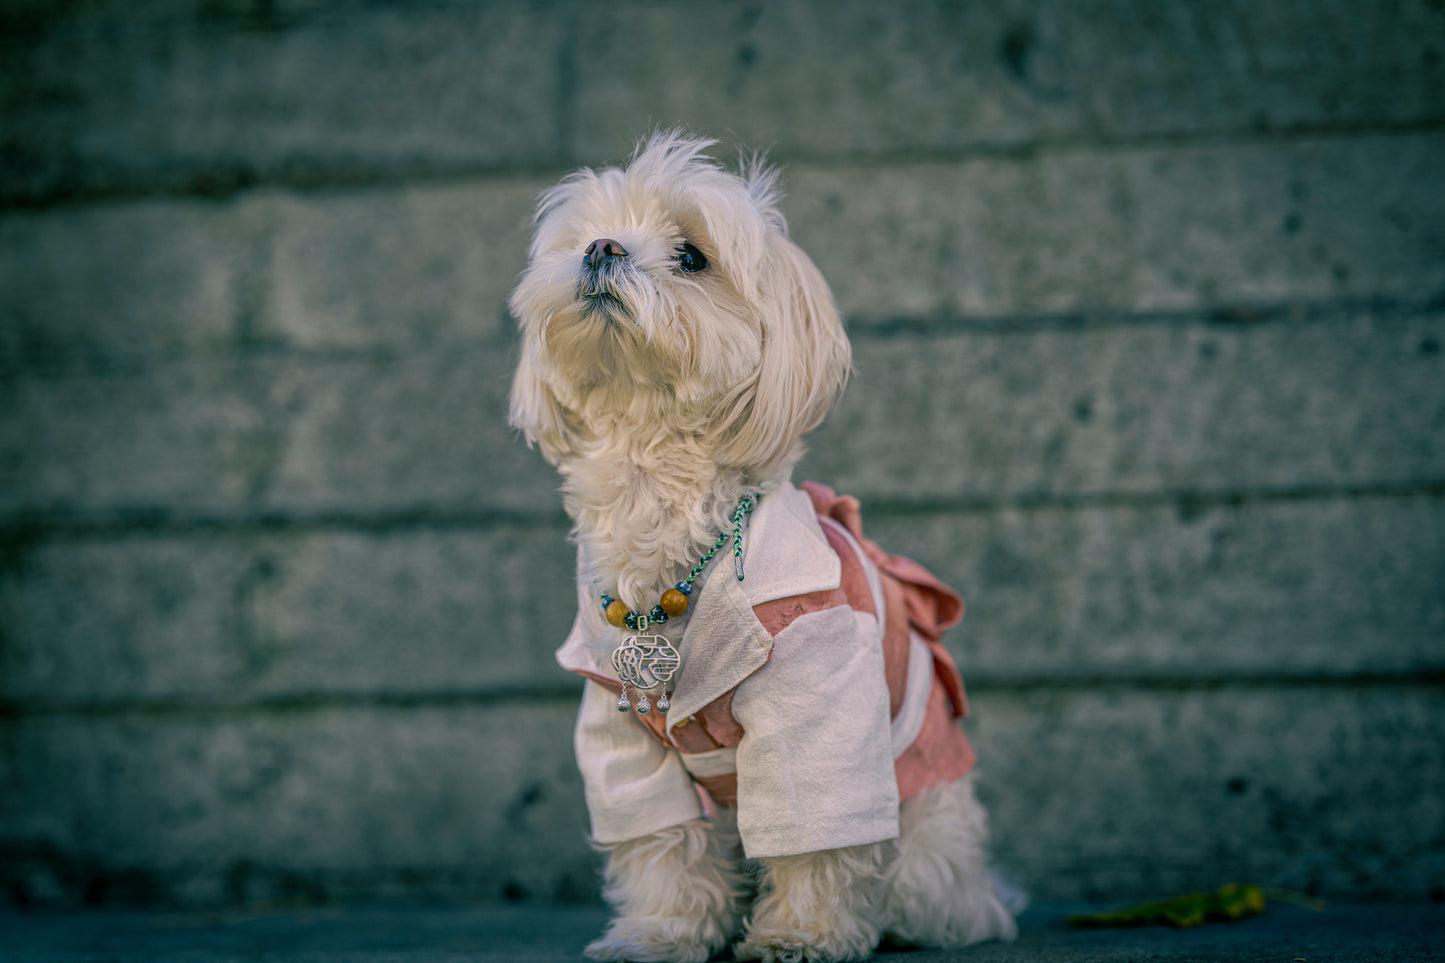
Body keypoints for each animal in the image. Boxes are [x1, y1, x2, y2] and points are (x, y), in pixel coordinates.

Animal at [508, 129, 1017, 960]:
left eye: (691, 256)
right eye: (587, 233)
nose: (600, 249)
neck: (659, 490)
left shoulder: (817, 697)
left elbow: (814, 831)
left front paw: (798, 935)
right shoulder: (620, 736)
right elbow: (660, 841)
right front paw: (661, 930)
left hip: (923, 837)